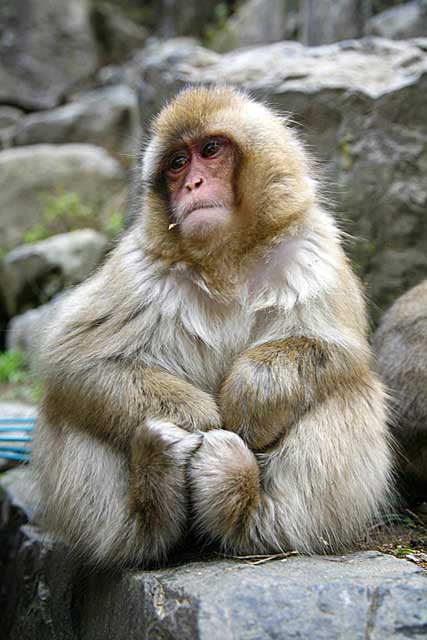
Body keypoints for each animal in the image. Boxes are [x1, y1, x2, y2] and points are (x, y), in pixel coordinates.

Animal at [31, 84, 396, 564]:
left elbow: (338, 351)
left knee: (349, 391)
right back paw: (147, 507)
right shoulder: (140, 264)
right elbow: (76, 360)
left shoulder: (311, 248)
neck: (226, 258)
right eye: (177, 163)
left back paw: (246, 510)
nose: (192, 184)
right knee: (69, 406)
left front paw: (248, 397)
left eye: (210, 150)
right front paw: (196, 416)